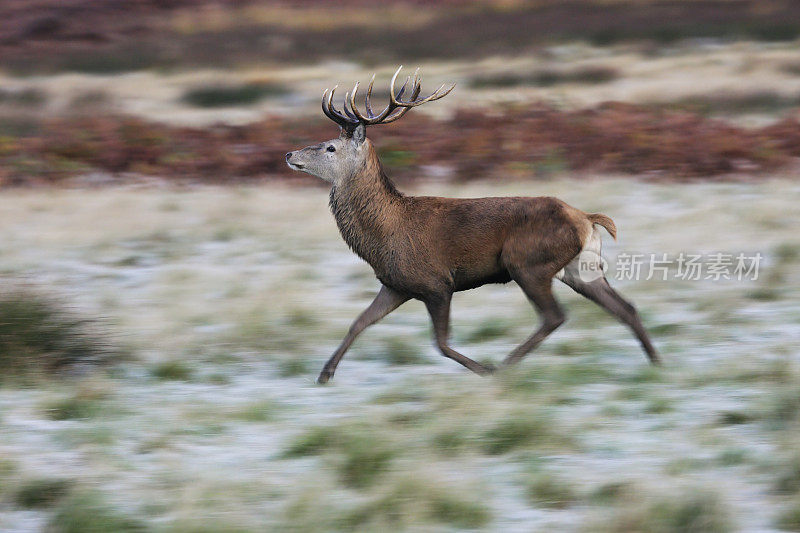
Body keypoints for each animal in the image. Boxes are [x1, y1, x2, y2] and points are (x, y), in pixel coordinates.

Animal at [284, 66, 660, 382]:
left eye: (330, 147)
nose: (289, 154)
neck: (383, 235)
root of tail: (587, 219)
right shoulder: (396, 284)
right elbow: (358, 323)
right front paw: (325, 374)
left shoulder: (436, 282)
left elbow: (441, 343)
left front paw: (484, 369)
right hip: (581, 267)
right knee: (624, 307)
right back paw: (656, 362)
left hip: (527, 263)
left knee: (555, 316)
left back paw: (506, 365)